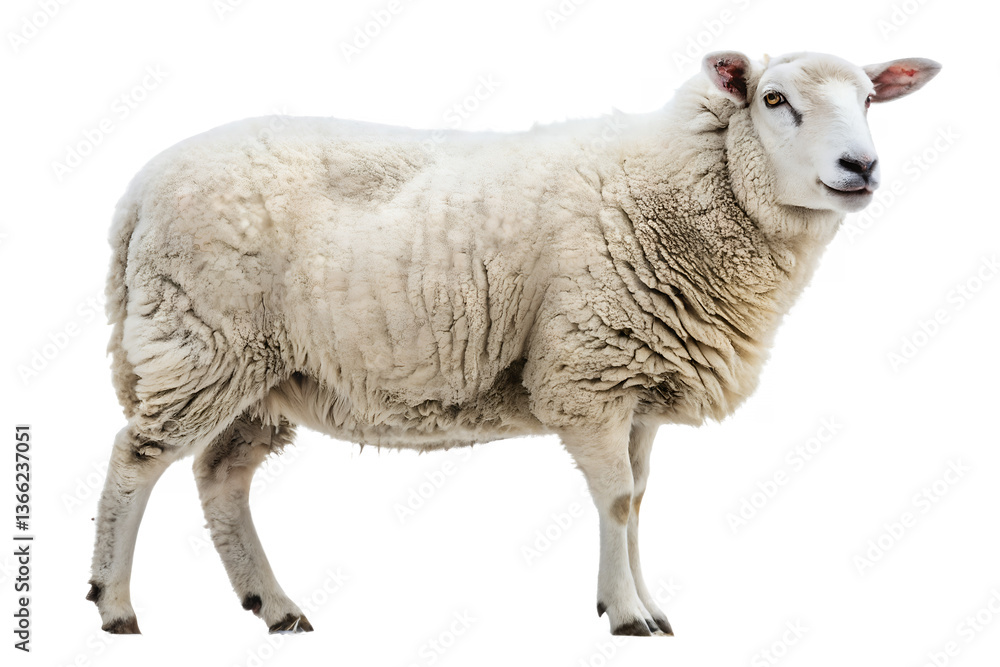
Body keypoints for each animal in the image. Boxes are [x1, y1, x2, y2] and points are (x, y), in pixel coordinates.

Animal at [87, 50, 940, 636]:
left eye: (870, 99)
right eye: (774, 99)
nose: (861, 166)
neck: (682, 188)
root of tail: (136, 191)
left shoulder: (640, 388)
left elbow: (639, 498)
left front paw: (644, 600)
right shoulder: (588, 370)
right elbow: (618, 498)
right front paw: (628, 614)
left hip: (260, 367)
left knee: (220, 475)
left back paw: (274, 603)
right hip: (203, 340)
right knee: (137, 458)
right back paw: (115, 603)